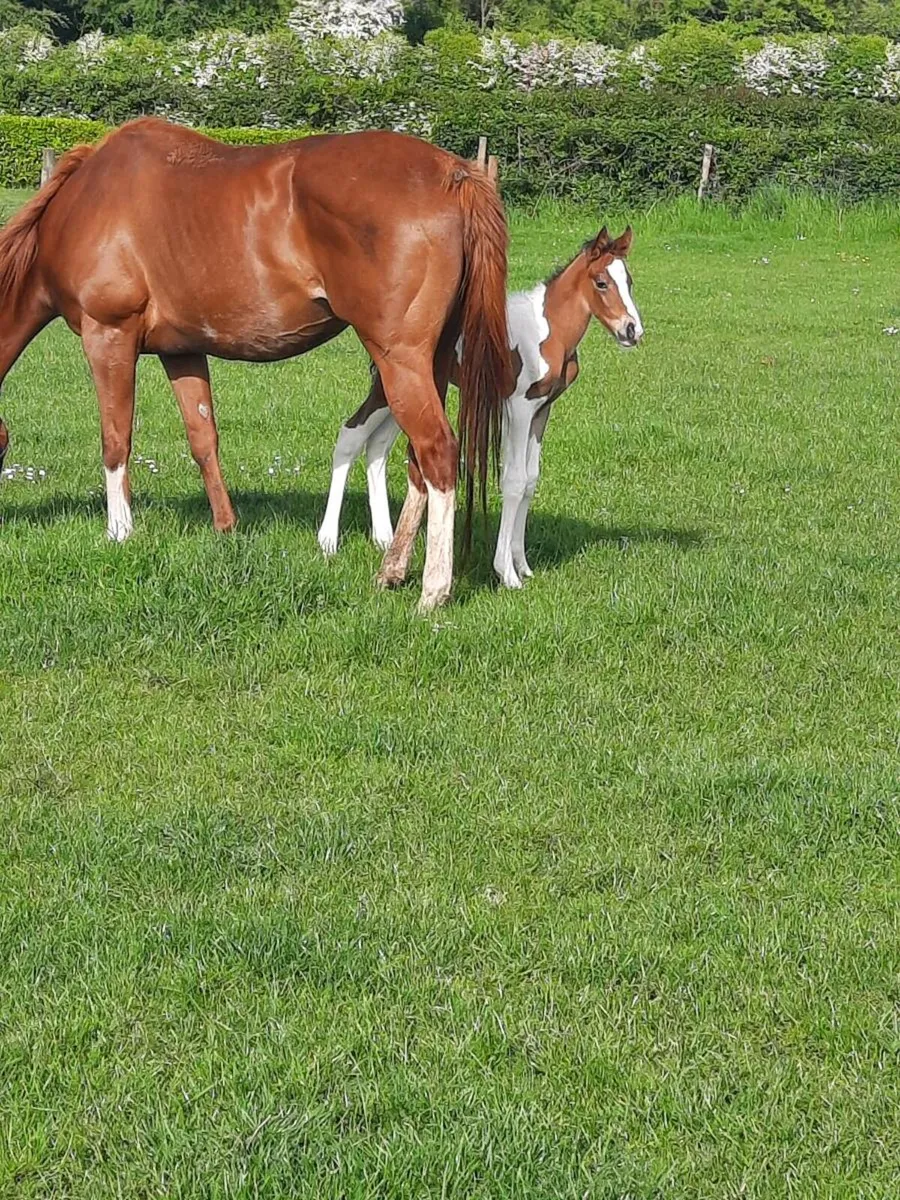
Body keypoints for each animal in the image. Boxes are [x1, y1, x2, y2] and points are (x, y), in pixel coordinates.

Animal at [0, 117, 512, 612]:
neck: (82, 204)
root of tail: (454, 173)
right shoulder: (181, 351)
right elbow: (203, 438)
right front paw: (225, 527)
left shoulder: (108, 336)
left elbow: (115, 439)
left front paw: (119, 531)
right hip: (432, 363)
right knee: (416, 463)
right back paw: (393, 570)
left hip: (399, 361)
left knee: (437, 453)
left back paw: (433, 591)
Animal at [317, 226, 642, 587]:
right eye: (601, 282)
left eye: (628, 281)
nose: (632, 330)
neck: (545, 331)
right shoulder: (518, 407)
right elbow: (514, 481)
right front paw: (507, 573)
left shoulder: (542, 409)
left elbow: (531, 480)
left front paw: (523, 564)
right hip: (389, 389)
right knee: (351, 434)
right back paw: (329, 541)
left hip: (402, 393)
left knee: (377, 444)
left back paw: (385, 540)